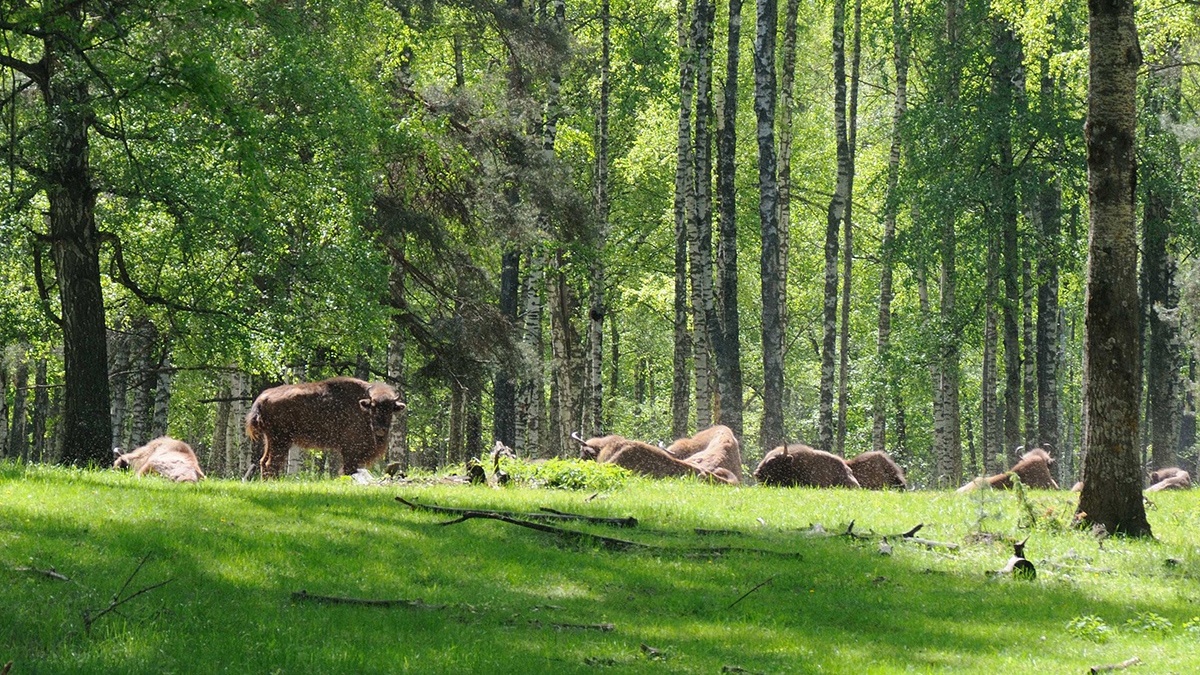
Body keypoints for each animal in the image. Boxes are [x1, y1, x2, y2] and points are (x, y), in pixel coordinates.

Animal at [246, 372, 405, 478]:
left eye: (391, 409)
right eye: (372, 407)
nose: (380, 429)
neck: (361, 407)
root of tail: (261, 399)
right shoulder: (350, 450)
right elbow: (349, 469)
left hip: (271, 440)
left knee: (264, 461)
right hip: (280, 440)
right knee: (271, 463)